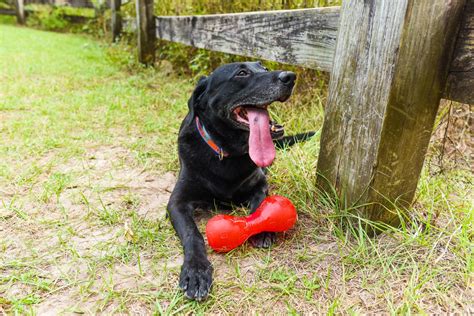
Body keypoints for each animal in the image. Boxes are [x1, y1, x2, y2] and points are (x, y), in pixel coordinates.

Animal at [168, 61, 312, 302]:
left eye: (264, 68)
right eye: (242, 73)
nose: (290, 77)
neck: (226, 153)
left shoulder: (259, 183)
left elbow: (259, 204)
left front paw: (262, 229)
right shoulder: (177, 202)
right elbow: (192, 234)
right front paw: (196, 271)